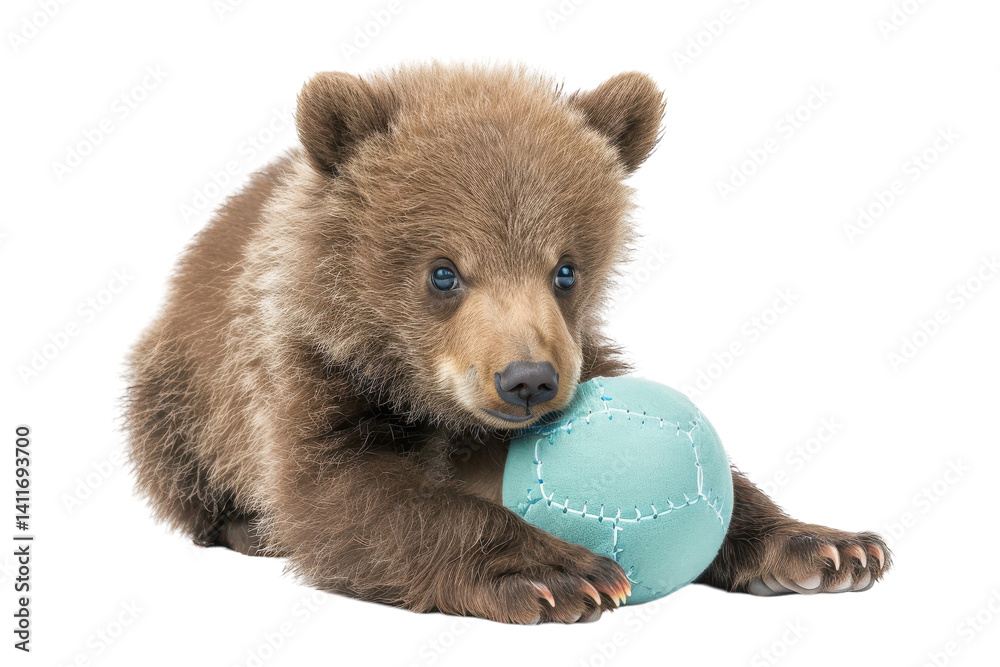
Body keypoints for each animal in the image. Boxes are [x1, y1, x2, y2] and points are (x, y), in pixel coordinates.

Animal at [123, 63, 890, 624]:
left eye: (566, 269)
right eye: (443, 271)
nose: (527, 380)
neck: (428, 400)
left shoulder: (579, 356)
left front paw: (829, 547)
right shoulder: (312, 375)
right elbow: (347, 496)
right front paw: (560, 572)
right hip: (175, 393)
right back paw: (245, 527)